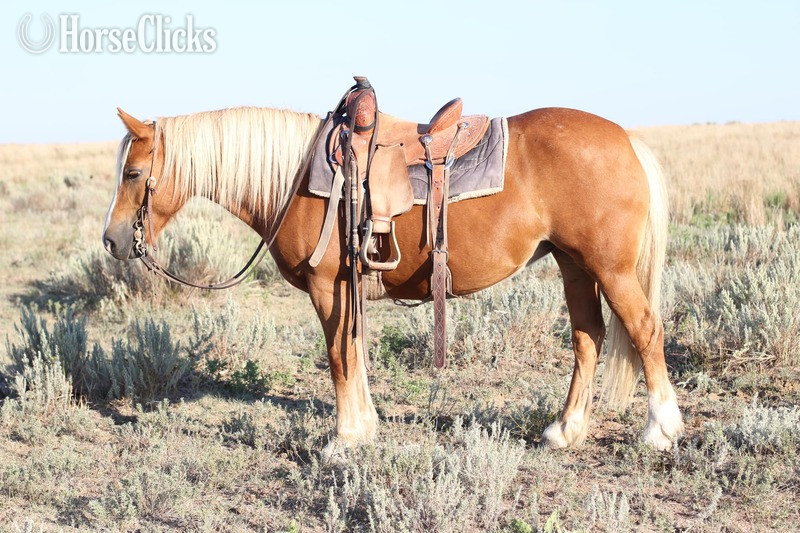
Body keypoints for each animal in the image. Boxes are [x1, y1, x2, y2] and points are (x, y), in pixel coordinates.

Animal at [102, 102, 684, 452]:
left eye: (133, 173)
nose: (111, 241)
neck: (298, 178)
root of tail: (627, 140)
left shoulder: (328, 288)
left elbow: (339, 356)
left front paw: (343, 439)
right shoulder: (347, 291)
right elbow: (354, 354)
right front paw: (364, 429)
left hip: (610, 270)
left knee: (644, 331)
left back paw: (660, 429)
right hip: (574, 266)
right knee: (589, 339)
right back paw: (565, 431)